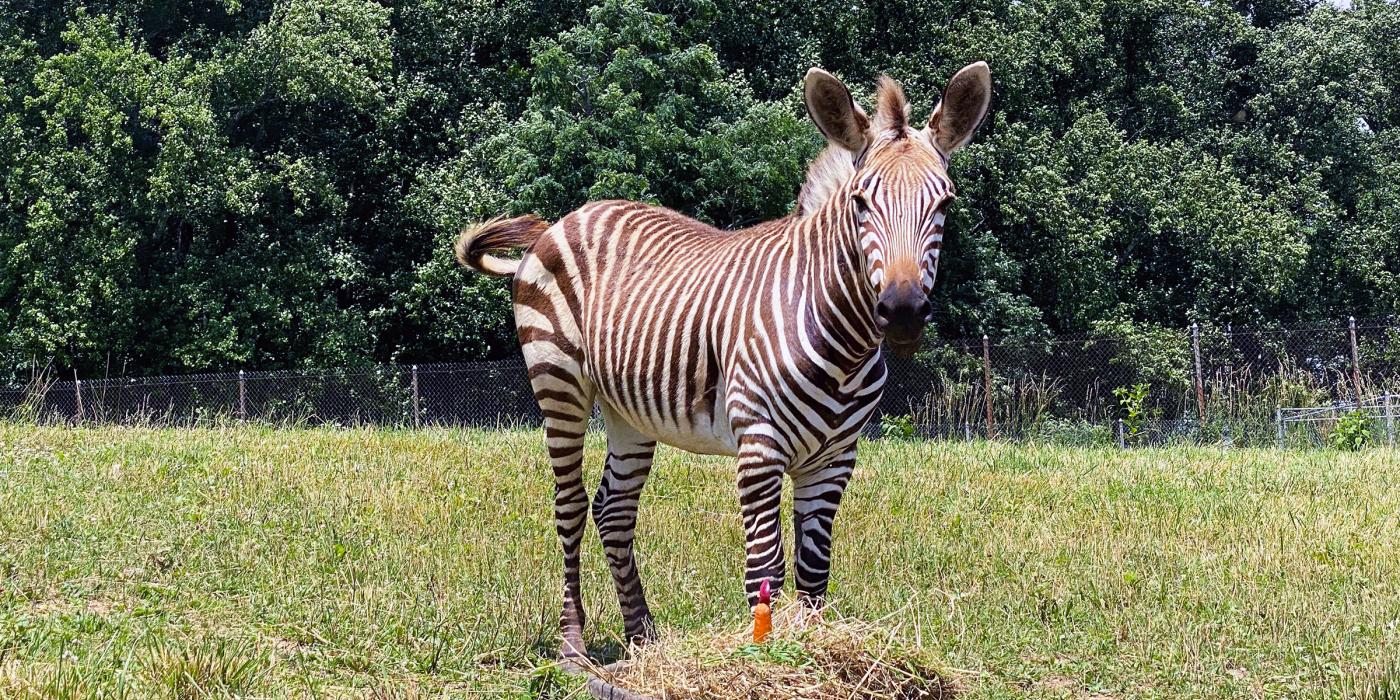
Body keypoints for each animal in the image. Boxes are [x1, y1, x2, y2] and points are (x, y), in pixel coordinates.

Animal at [453, 63, 991, 658]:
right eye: (860, 203)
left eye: (944, 204)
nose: (902, 312)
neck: (841, 344)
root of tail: (563, 220)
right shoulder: (759, 448)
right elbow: (766, 569)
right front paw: (762, 654)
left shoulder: (835, 459)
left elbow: (813, 572)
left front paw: (811, 648)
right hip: (559, 384)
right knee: (569, 506)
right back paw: (574, 645)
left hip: (628, 409)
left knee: (613, 511)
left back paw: (643, 639)